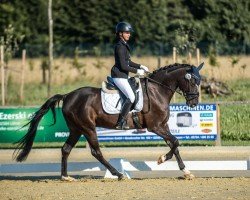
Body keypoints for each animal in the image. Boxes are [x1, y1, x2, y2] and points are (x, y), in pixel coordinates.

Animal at [13, 62, 204, 181]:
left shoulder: (163, 126)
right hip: (88, 128)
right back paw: (118, 174)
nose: (194, 103)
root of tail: (68, 96)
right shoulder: (155, 126)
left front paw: (186, 171)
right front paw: (161, 159)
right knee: (96, 152)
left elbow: (175, 144)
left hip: (76, 129)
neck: (157, 90)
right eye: (192, 81)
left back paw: (66, 176)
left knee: (66, 149)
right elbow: (175, 141)